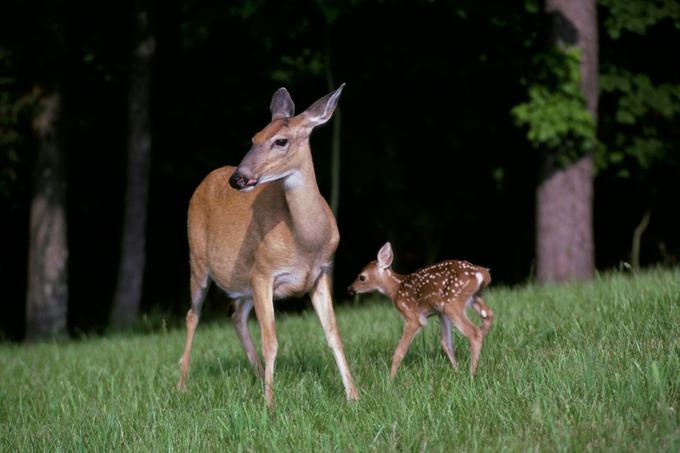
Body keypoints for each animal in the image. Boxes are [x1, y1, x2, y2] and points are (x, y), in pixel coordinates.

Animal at [181, 85, 362, 406]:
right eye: (254, 138)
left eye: (281, 141)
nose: (238, 178)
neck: (305, 241)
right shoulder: (264, 272)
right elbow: (272, 341)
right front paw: (270, 404)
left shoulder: (321, 273)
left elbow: (333, 335)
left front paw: (353, 396)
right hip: (199, 260)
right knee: (193, 315)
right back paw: (182, 385)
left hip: (242, 281)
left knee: (235, 314)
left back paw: (255, 374)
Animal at [348, 242, 492, 376]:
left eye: (362, 277)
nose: (350, 288)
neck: (396, 290)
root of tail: (481, 273)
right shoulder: (440, 313)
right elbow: (446, 343)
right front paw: (456, 371)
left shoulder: (412, 316)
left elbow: (399, 351)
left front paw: (390, 379)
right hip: (469, 298)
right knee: (488, 314)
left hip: (452, 303)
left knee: (474, 333)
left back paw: (471, 374)